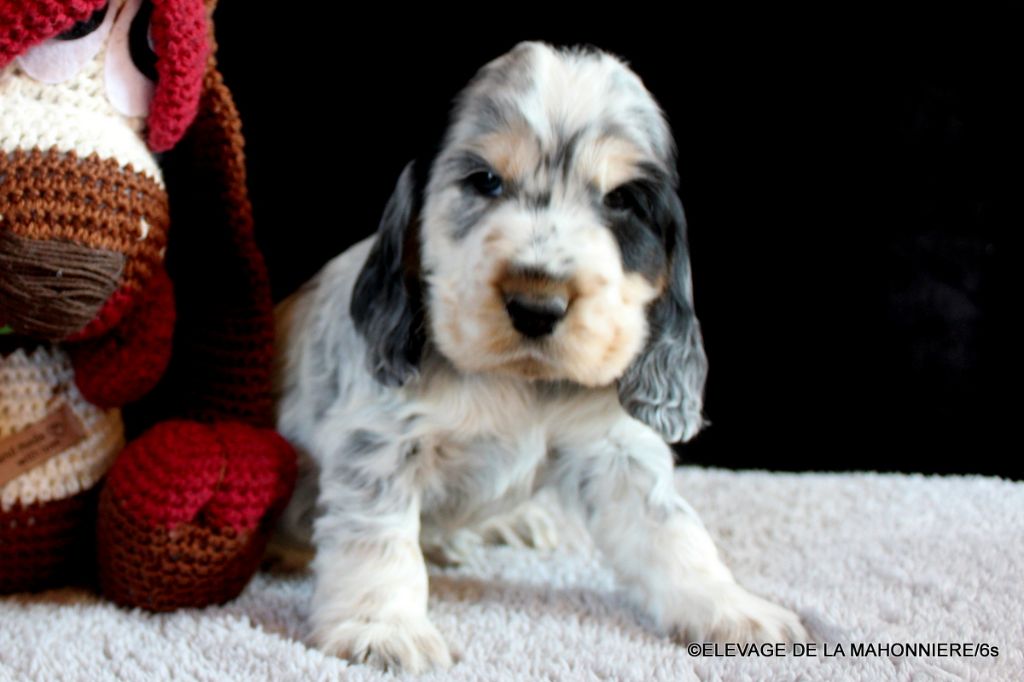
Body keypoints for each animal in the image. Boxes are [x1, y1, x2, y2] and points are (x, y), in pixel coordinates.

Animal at [274, 41, 806, 667]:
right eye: (485, 181)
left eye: (622, 201)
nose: (536, 306)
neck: (523, 384)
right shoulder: (381, 441)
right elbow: (379, 540)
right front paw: (382, 626)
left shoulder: (616, 449)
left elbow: (672, 532)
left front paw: (731, 608)